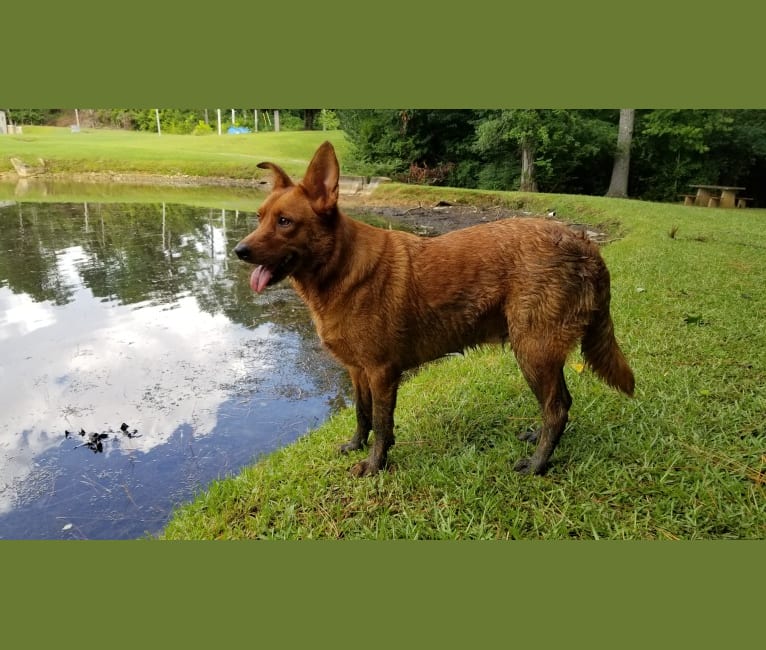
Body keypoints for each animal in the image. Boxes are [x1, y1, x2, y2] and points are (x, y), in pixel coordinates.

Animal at [234, 142, 636, 476]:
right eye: (259, 217)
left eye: (285, 222)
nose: (239, 250)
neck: (339, 268)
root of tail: (583, 242)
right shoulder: (357, 371)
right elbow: (363, 415)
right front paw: (356, 445)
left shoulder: (381, 372)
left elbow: (382, 424)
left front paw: (375, 465)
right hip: (541, 352)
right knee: (559, 403)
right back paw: (538, 440)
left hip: (533, 351)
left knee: (557, 408)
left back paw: (538, 464)